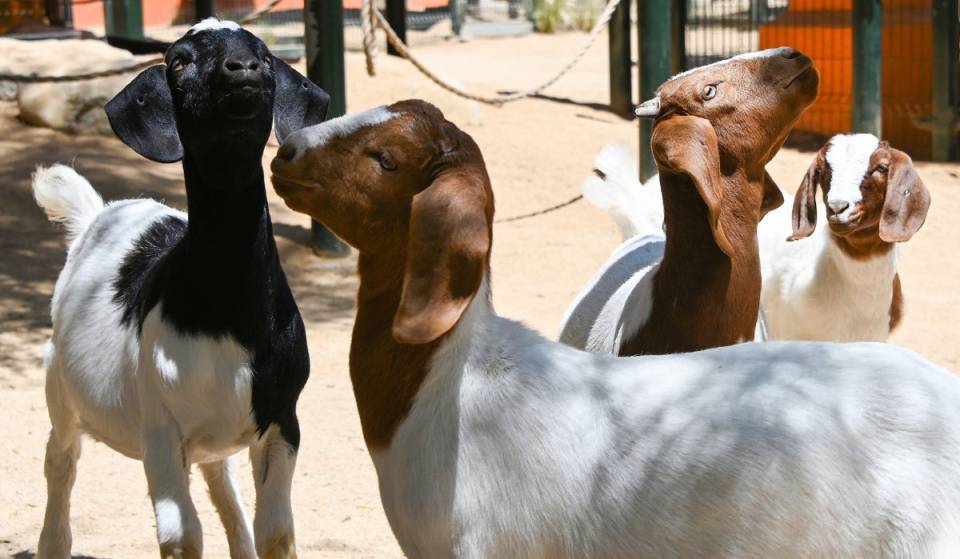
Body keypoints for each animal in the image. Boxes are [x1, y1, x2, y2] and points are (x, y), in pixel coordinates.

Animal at [34, 19, 328, 559]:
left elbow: (275, 530)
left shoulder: (282, 419)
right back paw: (53, 541)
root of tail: (96, 213)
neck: (229, 313)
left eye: (265, 54)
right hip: (58, 386)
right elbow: (181, 536)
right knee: (60, 459)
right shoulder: (160, 432)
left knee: (222, 486)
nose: (243, 68)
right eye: (179, 61)